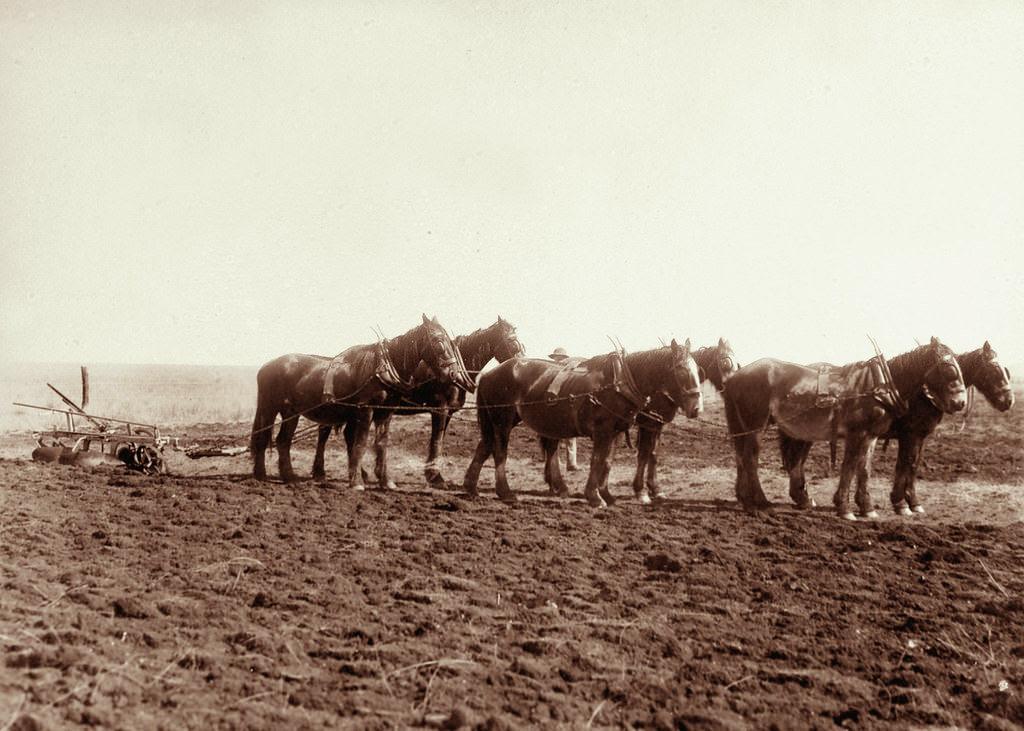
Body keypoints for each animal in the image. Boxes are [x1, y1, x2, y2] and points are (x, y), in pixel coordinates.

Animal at [249, 315, 473, 487]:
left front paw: (386, 481)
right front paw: (357, 482)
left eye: (451, 342)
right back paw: (261, 475)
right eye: (437, 340)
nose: (453, 373)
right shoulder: (366, 409)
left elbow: (381, 444)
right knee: (263, 438)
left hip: (291, 412)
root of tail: (265, 366)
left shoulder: (385, 412)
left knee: (282, 441)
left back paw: (289, 477)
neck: (381, 368)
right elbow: (361, 443)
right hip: (268, 409)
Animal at [323, 315, 524, 487]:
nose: (522, 366)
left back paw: (361, 474)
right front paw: (436, 477)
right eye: (513, 342)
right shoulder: (440, 409)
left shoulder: (448, 413)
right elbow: (436, 442)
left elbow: (438, 440)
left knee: (349, 434)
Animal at [464, 337, 704, 503]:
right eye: (682, 371)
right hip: (502, 421)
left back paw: (471, 487)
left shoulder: (616, 431)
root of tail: (489, 374)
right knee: (499, 452)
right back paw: (505, 491)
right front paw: (594, 496)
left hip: (503, 420)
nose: (697, 408)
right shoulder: (604, 430)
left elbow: (607, 461)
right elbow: (598, 460)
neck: (619, 384)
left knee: (484, 446)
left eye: (698, 371)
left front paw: (607, 494)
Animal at [626, 337, 741, 501]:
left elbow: (654, 453)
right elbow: (643, 453)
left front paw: (655, 488)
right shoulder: (648, 423)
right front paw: (640, 490)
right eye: (725, 363)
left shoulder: (658, 424)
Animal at [724, 337, 962, 518]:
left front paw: (866, 507)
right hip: (756, 425)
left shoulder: (871, 436)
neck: (878, 387)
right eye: (950, 368)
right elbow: (849, 467)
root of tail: (735, 376)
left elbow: (864, 469)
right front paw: (845, 507)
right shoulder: (858, 434)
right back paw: (761, 503)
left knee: (742, 458)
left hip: (743, 427)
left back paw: (748, 500)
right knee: (751, 460)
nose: (960, 403)